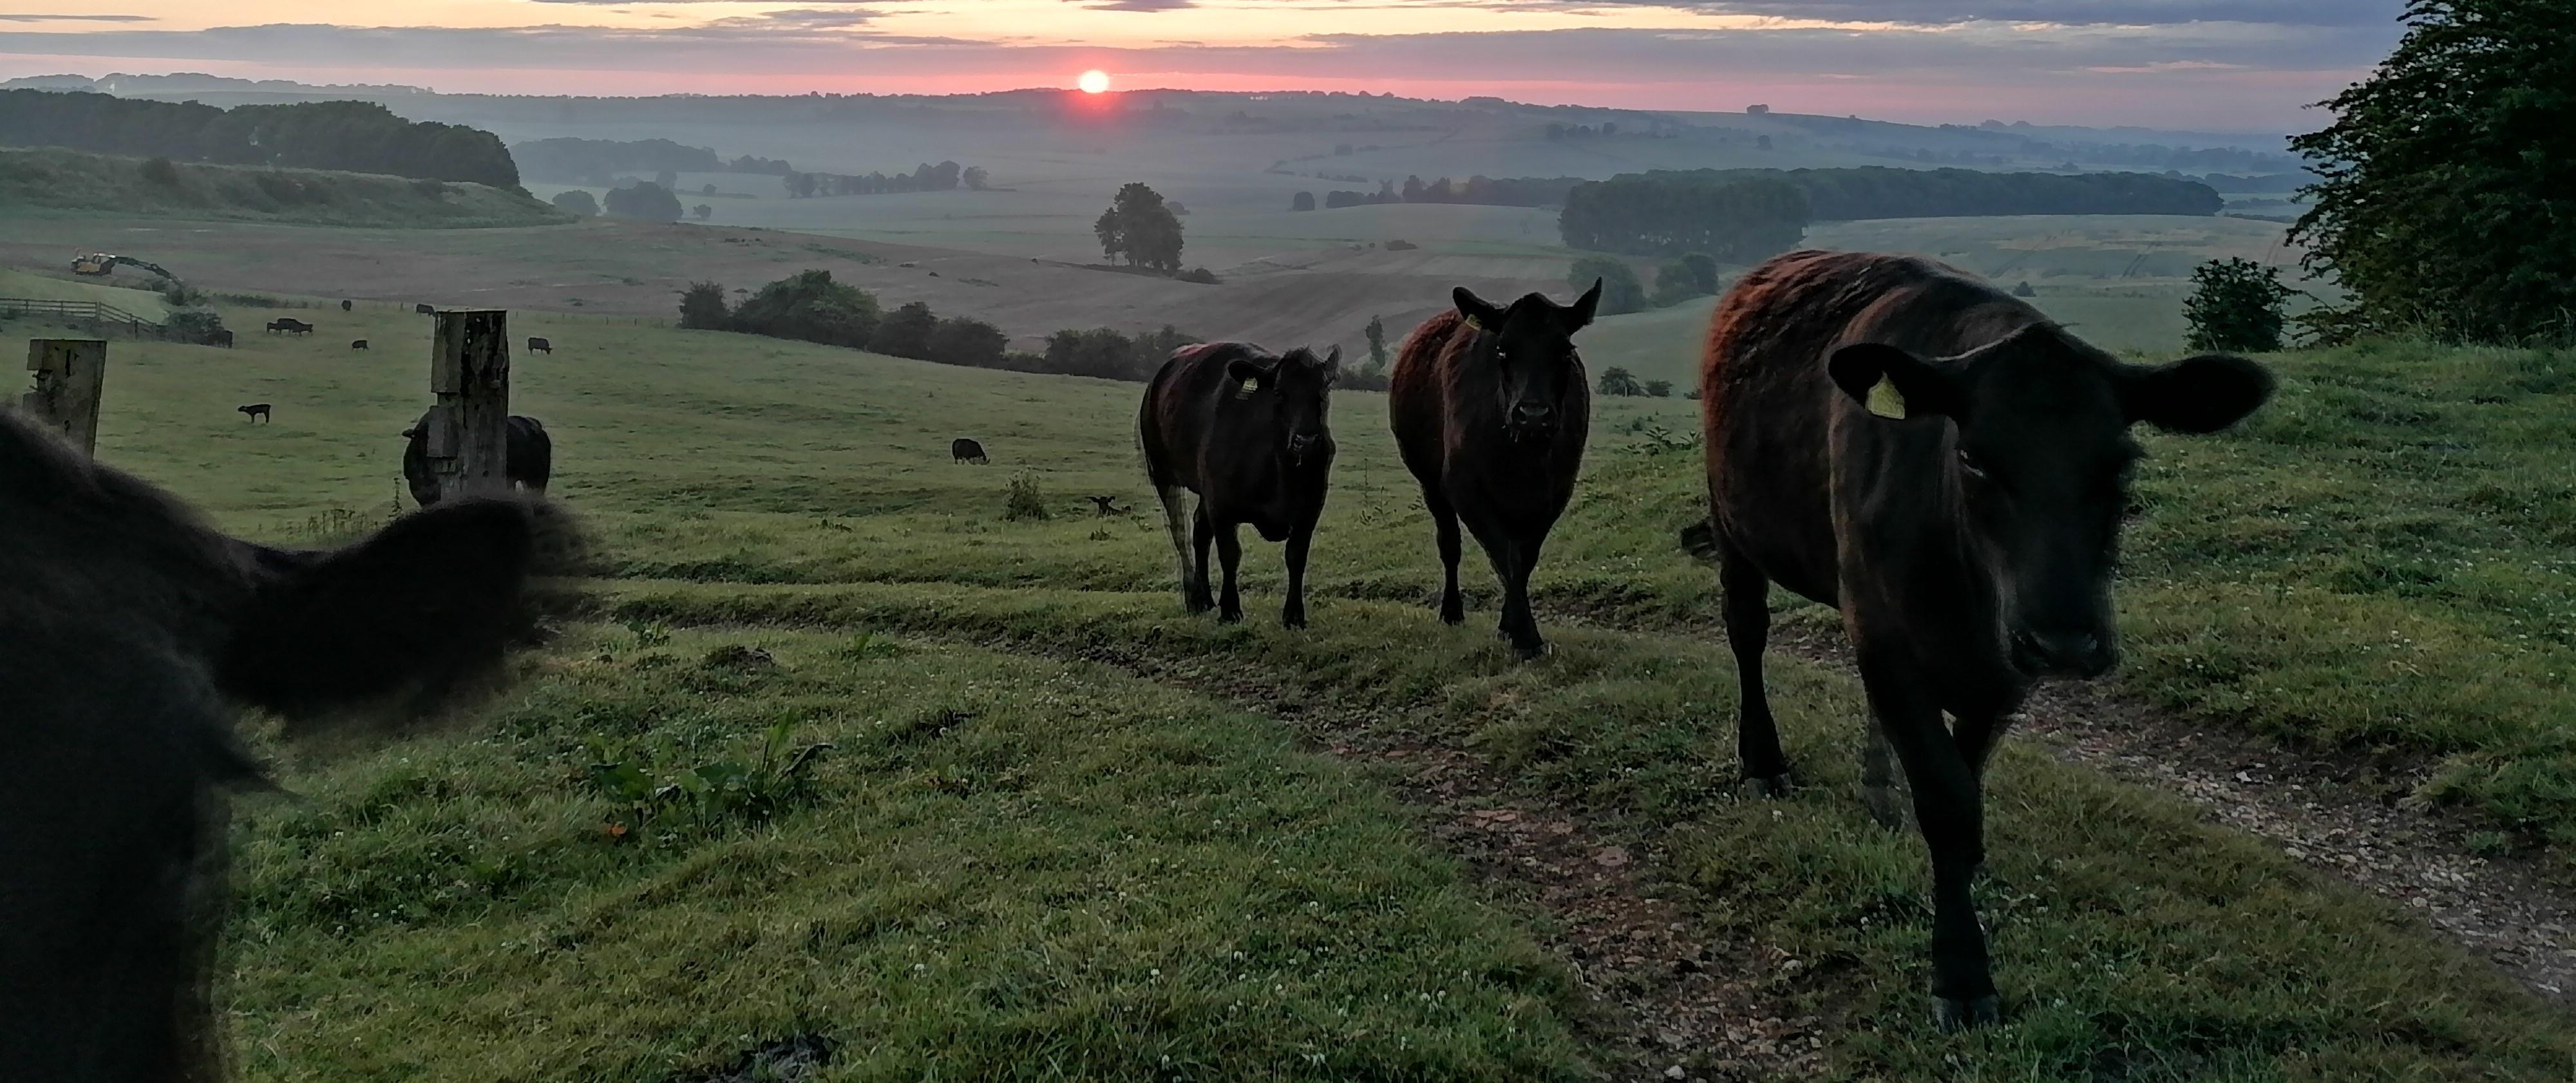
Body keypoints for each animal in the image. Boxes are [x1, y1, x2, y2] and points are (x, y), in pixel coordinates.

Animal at [1149, 337, 1350, 626]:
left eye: (1322, 392)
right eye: (1279, 393)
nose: (1306, 441)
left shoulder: (1310, 507)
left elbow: (1296, 555)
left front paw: (1294, 615)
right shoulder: (1221, 504)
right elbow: (1230, 553)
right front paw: (1231, 610)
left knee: (1200, 531)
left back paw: (1205, 597)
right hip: (1162, 471)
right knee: (1180, 532)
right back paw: (1193, 596)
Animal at [1391, 277, 1587, 660]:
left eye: (1564, 351)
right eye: (1502, 352)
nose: (1533, 415)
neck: (1522, 456)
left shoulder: (1556, 493)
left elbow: (1524, 560)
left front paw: (1511, 627)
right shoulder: (1465, 489)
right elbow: (1504, 558)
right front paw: (1525, 637)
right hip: (1430, 483)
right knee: (1449, 544)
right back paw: (1452, 611)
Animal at [1700, 250, 2267, 1026]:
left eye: (2121, 463)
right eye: (1972, 458)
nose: (2065, 641)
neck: (1963, 587)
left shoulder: (2002, 666)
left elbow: (1965, 784)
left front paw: (1961, 870)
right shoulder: (1883, 638)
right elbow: (1945, 798)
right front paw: (1961, 971)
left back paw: (1877, 791)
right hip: (1732, 522)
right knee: (1746, 631)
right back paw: (1762, 760)